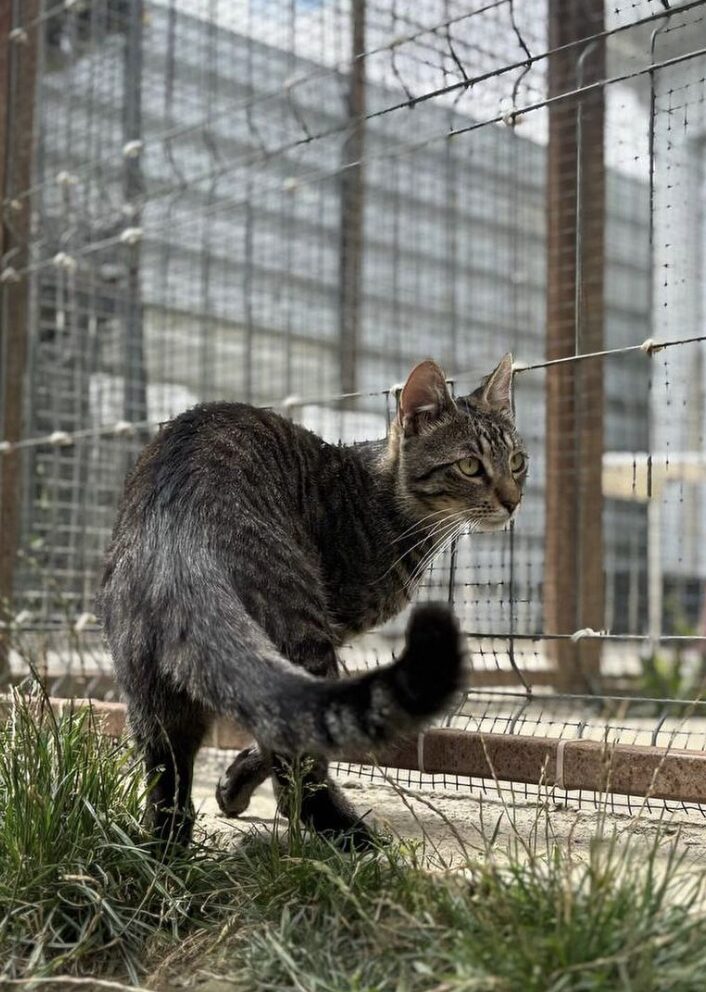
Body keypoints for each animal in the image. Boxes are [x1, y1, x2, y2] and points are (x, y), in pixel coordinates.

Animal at [100, 354, 528, 844]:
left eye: (517, 461)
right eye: (471, 466)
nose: (514, 501)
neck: (390, 503)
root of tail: (178, 534)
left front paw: (232, 783)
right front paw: (238, 783)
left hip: (147, 685)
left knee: (170, 781)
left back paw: (165, 848)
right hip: (301, 628)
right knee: (300, 754)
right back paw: (351, 839)